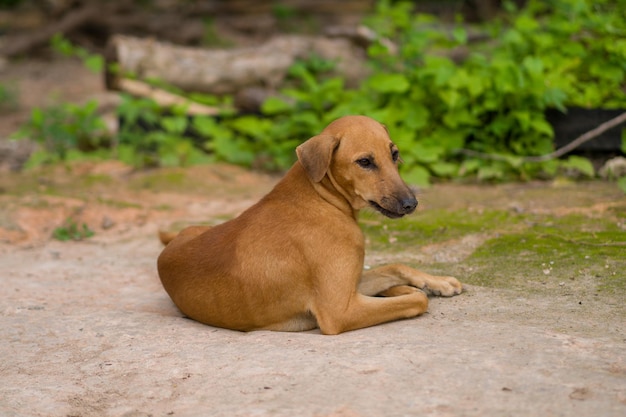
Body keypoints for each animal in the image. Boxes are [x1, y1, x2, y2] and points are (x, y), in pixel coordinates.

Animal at [156, 114, 458, 334]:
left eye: (394, 154)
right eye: (364, 162)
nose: (411, 204)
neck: (321, 198)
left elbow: (396, 266)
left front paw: (439, 282)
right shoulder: (340, 311)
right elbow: (417, 300)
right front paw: (423, 290)